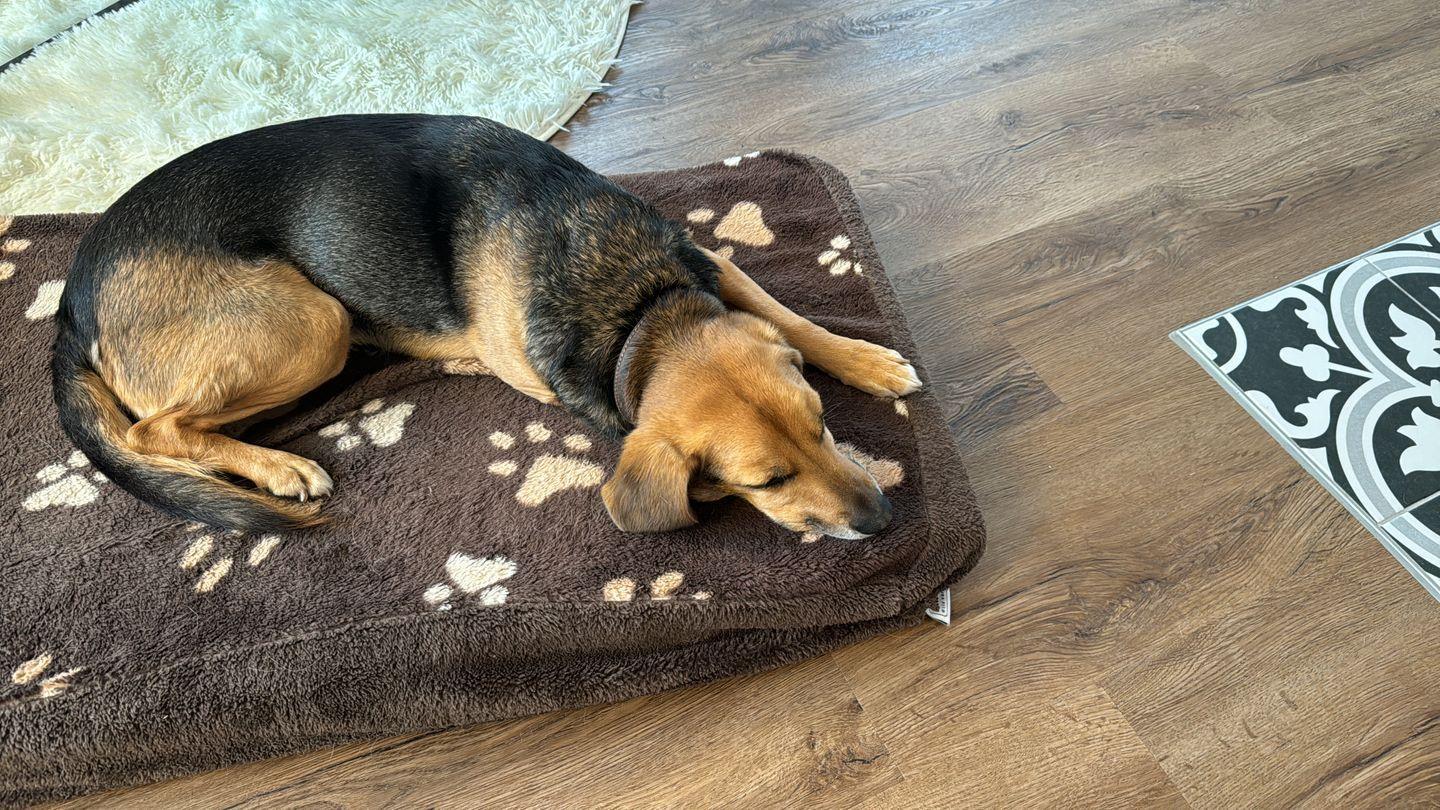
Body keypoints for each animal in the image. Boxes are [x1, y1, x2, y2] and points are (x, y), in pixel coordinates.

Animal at [52, 114, 920, 537]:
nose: (883, 520)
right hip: (312, 323)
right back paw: (280, 467)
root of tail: (71, 297)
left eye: (823, 424)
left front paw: (869, 360)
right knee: (154, 431)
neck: (635, 307)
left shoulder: (704, 262)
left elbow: (787, 314)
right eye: (763, 483)